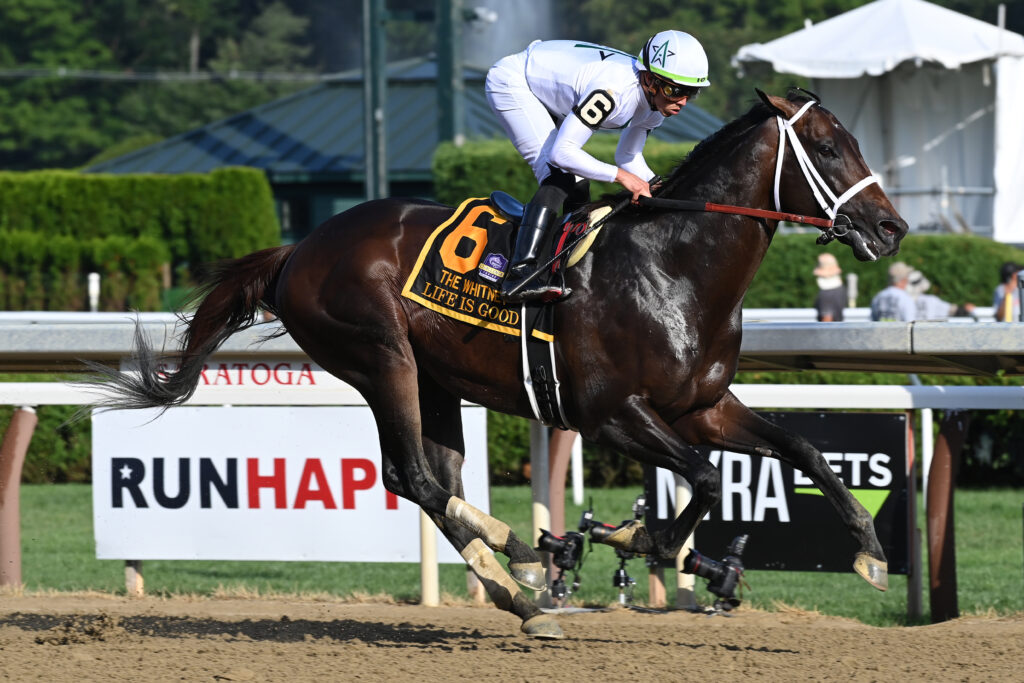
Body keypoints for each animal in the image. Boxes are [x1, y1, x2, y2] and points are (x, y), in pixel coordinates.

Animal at [89, 89, 907, 639]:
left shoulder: (700, 407)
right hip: (381, 358)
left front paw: (869, 551)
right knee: (414, 477)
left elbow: (801, 447)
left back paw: (520, 565)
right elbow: (704, 478)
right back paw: (523, 578)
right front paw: (645, 541)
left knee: (428, 481)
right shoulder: (610, 413)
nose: (892, 227)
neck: (672, 266)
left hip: (435, 379)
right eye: (828, 148)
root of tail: (300, 247)